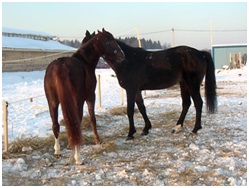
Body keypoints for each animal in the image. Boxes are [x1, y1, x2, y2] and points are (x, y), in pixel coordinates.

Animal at [44, 28, 124, 164]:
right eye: (112, 41)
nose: (122, 55)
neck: (85, 61)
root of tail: (60, 66)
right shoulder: (90, 97)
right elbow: (92, 118)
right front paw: (97, 140)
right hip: (77, 101)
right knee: (76, 123)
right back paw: (78, 157)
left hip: (53, 102)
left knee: (56, 125)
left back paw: (58, 151)